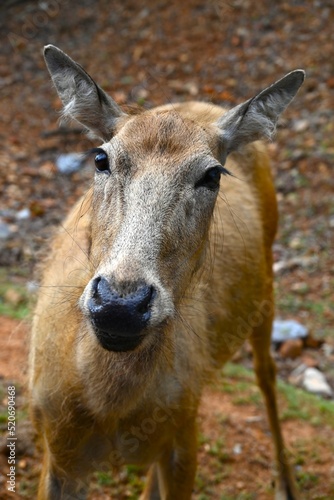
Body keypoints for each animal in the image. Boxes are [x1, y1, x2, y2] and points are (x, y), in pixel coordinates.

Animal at [29, 44, 306, 500]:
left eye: (212, 174)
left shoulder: (185, 439)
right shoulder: (55, 447)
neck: (109, 407)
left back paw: (286, 482)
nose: (120, 304)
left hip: (267, 283)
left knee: (266, 375)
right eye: (101, 157)